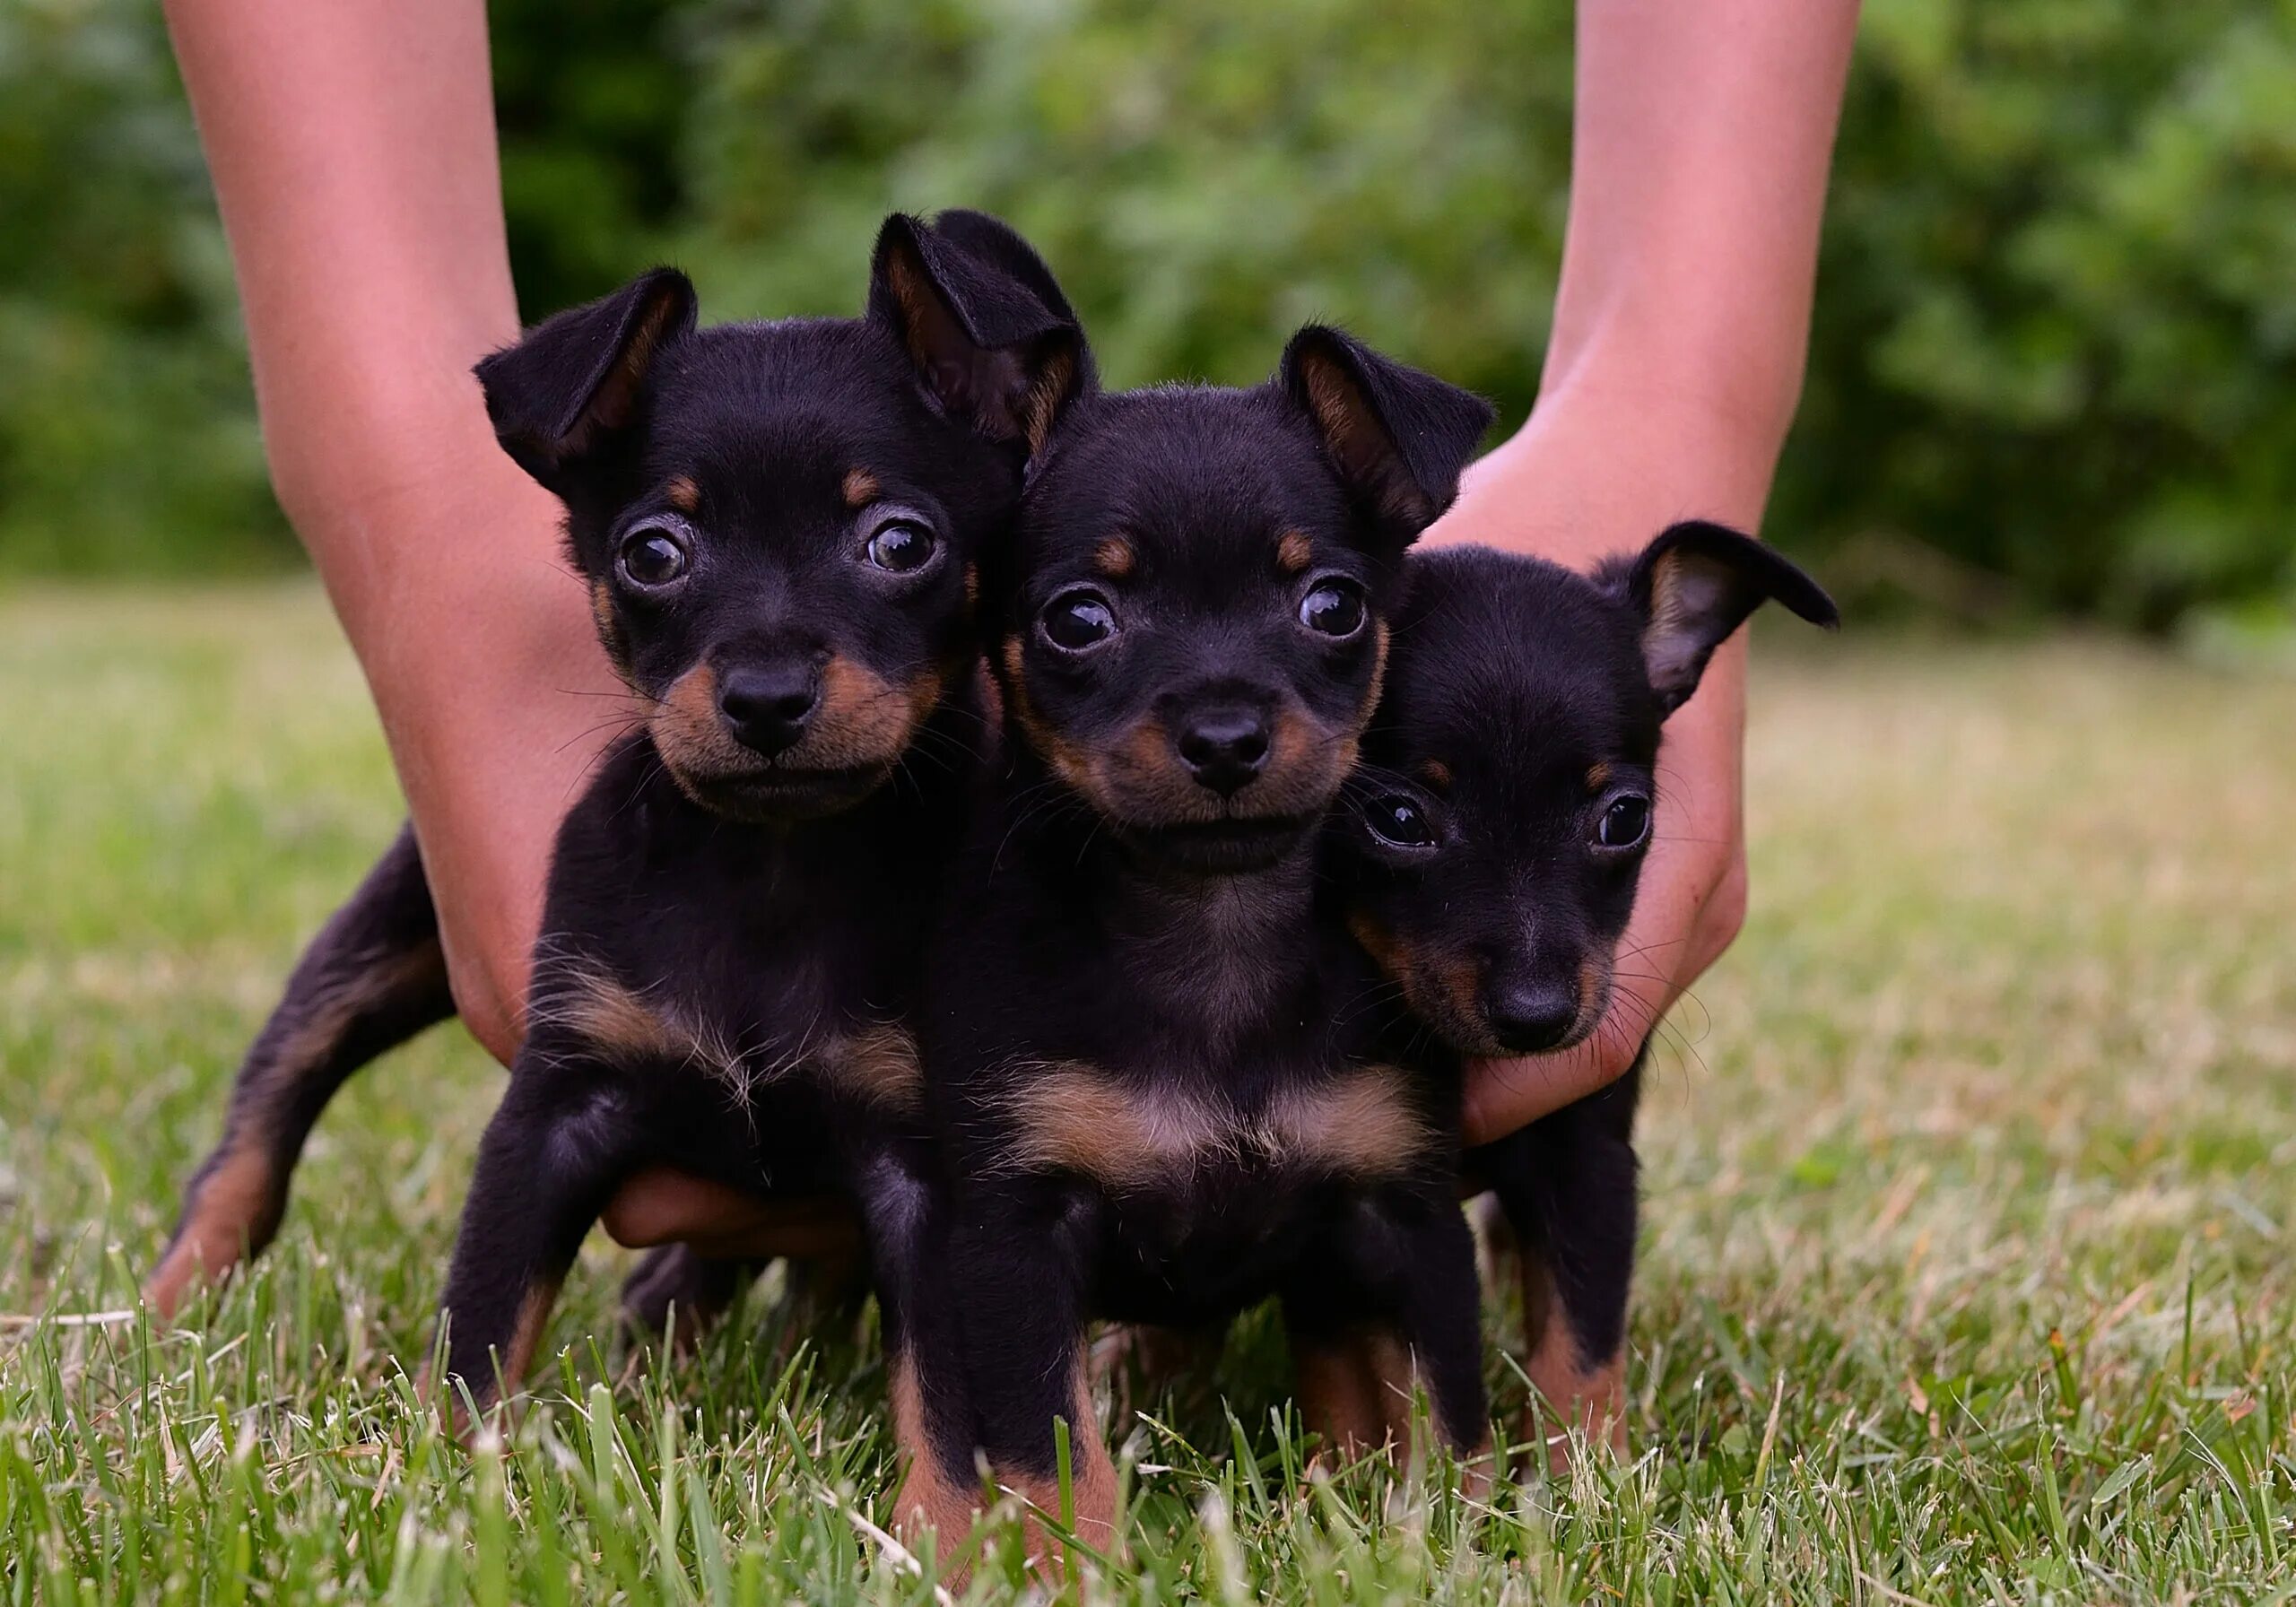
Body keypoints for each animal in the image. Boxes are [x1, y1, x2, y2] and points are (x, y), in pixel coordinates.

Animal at [150, 216, 1083, 1413]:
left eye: (900, 543)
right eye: (652, 554)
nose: (765, 697)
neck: (773, 864)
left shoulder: (920, 1162)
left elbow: (944, 1400)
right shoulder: (556, 1107)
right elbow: (483, 1330)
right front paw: (454, 1458)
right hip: (386, 941)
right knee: (266, 1115)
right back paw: (159, 1312)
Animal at [886, 318, 1497, 1551]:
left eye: (1331, 606)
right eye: (1078, 618)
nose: (1224, 736)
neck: (1212, 925)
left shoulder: (1405, 1215)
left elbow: (1450, 1416)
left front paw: (1471, 1546)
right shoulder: (1018, 1236)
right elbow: (1048, 1450)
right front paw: (1073, 1563)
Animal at [1341, 523, 1837, 1460]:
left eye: (1625, 818)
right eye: (1397, 820)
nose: (1536, 1016)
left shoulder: (1586, 1156)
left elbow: (1580, 1338)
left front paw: (1587, 1473)